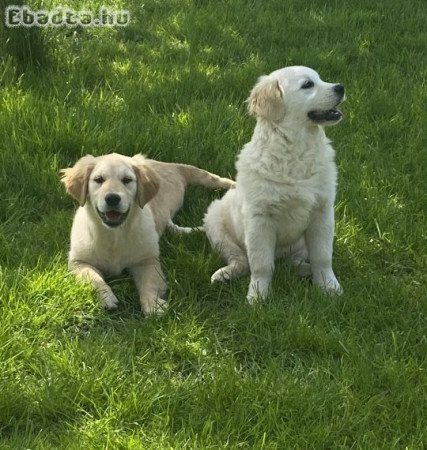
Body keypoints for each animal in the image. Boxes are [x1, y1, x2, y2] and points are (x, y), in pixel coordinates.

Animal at [61, 153, 234, 314]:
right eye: (99, 179)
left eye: (127, 180)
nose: (112, 198)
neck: (115, 234)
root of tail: (171, 165)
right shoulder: (78, 261)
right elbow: (92, 277)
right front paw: (106, 297)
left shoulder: (147, 260)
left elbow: (149, 282)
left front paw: (152, 305)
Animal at [202, 66, 346, 302]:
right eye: (308, 84)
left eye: (320, 78)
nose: (340, 87)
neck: (297, 148)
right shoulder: (259, 220)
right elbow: (261, 264)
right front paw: (258, 295)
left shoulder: (322, 213)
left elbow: (323, 257)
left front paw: (329, 286)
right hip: (215, 223)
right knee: (241, 260)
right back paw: (225, 274)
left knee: (294, 262)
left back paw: (305, 271)